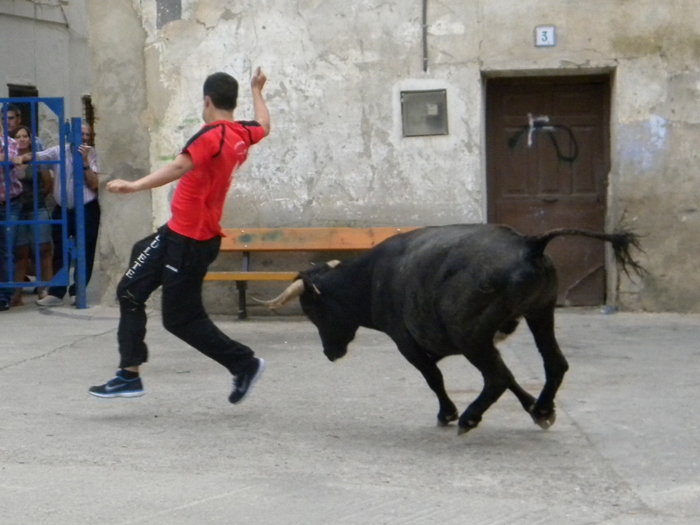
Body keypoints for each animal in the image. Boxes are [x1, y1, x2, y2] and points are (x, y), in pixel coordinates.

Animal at [260, 225, 644, 434]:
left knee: (496, 378)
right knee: (551, 364)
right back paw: (543, 409)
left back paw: (469, 419)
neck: (370, 278)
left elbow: (434, 378)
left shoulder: (407, 343)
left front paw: (447, 413)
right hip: (539, 313)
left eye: (312, 309)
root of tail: (529, 244)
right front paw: (533, 407)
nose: (330, 353)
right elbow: (514, 377)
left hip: (470, 334)